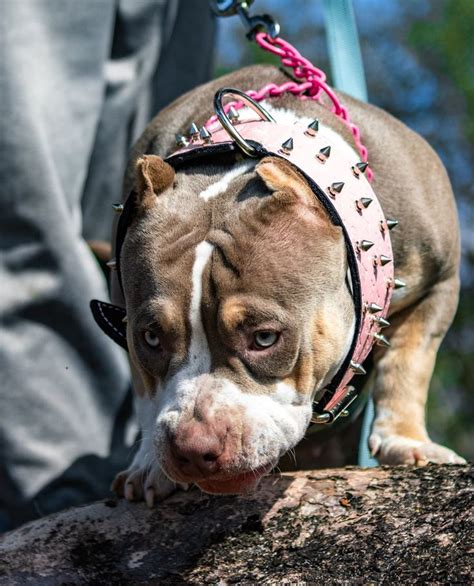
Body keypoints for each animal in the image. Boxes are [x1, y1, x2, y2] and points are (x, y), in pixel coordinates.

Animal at [97, 62, 466, 502]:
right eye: (151, 338)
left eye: (264, 338)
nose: (193, 447)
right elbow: (145, 395)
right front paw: (149, 466)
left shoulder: (440, 281)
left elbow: (408, 365)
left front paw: (406, 440)